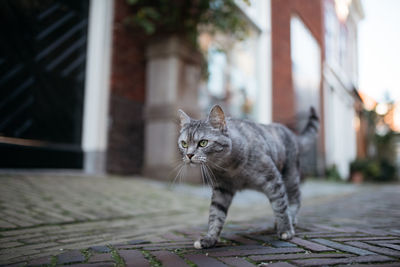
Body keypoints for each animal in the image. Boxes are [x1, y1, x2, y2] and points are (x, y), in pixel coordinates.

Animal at [178, 104, 318, 249]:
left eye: (203, 143)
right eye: (184, 144)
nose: (189, 155)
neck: (227, 168)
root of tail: (293, 135)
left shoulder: (273, 180)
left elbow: (280, 206)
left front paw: (285, 230)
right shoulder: (222, 190)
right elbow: (215, 215)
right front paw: (209, 238)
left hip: (290, 176)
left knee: (295, 198)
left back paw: (291, 219)